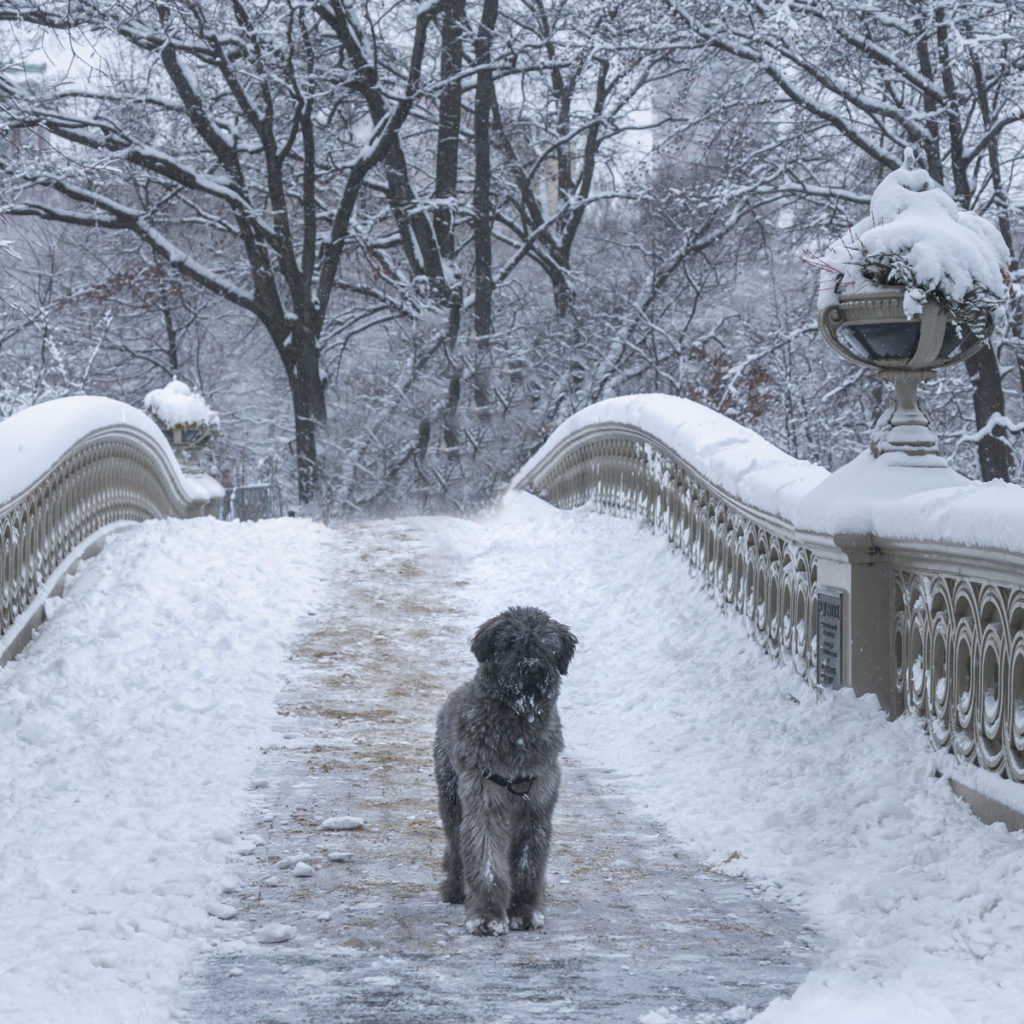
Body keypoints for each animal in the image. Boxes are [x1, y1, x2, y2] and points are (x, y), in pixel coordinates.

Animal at [432, 606, 577, 937]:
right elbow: (486, 862)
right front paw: (487, 916)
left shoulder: (536, 805)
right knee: (456, 847)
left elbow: (528, 863)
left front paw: (525, 912)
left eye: (546, 645)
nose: (532, 668)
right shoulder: (484, 801)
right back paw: (455, 888)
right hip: (451, 798)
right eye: (510, 643)